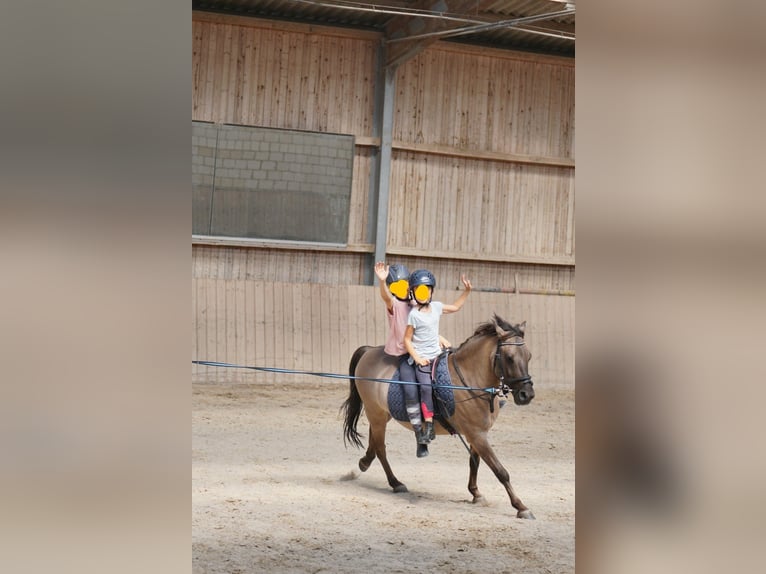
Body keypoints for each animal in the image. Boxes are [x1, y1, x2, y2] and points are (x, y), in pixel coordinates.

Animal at [344, 316, 540, 520]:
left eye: (528, 356)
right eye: (509, 358)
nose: (527, 394)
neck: (469, 380)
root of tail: (370, 350)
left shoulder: (477, 434)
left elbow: (474, 462)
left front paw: (476, 493)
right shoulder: (477, 434)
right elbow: (500, 471)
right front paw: (521, 507)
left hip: (381, 414)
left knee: (374, 440)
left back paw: (364, 463)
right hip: (376, 413)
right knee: (381, 448)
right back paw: (395, 482)